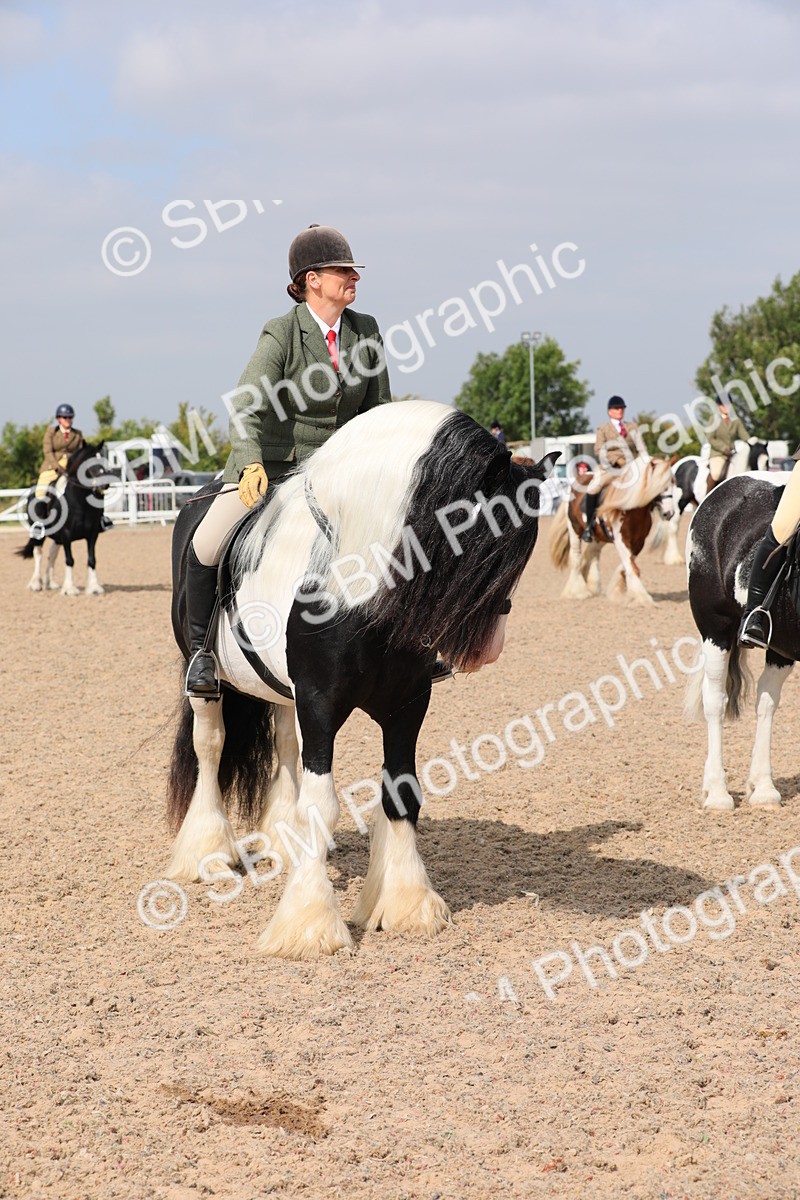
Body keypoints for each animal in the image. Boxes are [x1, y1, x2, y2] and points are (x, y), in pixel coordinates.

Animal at [16, 442, 111, 595]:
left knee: (52, 554)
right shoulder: (67, 534)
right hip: (38, 533)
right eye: (87, 461)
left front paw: (94, 588)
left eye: (103, 459)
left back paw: (51, 583)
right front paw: (69, 589)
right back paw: (36, 583)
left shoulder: (92, 534)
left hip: (57, 537)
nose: (104, 484)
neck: (79, 501)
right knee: (38, 553)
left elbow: (92, 559)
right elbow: (69, 560)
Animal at [165, 400, 559, 959]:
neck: (355, 577)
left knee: (284, 744)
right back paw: (208, 852)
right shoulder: (319, 704)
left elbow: (402, 793)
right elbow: (320, 805)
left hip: (280, 692)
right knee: (211, 745)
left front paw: (405, 903)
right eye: (478, 535)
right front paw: (308, 924)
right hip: (204, 677)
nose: (489, 649)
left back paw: (281, 840)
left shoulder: (407, 705)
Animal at [548, 456, 675, 605]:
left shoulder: (638, 542)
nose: (669, 513)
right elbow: (631, 566)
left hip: (599, 537)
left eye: (673, 483)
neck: (633, 509)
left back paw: (592, 586)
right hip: (575, 531)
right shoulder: (621, 540)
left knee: (592, 553)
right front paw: (641, 597)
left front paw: (620, 591)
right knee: (575, 557)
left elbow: (627, 566)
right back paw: (578, 592)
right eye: (660, 486)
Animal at [684, 473, 798, 811]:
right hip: (716, 630)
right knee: (715, 701)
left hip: (781, 647)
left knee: (766, 702)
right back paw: (717, 793)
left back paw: (762, 788)